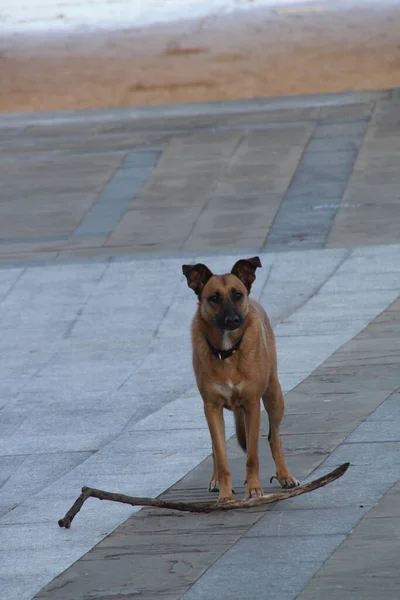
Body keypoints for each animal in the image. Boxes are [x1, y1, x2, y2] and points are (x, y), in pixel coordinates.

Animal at [183, 254, 298, 502]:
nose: (233, 320)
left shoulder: (252, 405)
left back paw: (285, 475)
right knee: (215, 448)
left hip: (274, 395)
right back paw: (216, 480)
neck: (227, 351)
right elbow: (220, 454)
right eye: (214, 298)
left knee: (274, 438)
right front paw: (225, 494)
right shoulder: (212, 407)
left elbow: (253, 455)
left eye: (237, 295)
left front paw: (254, 489)